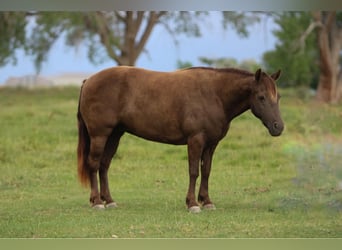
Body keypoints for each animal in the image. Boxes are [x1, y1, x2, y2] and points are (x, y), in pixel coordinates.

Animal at [77, 65, 284, 212]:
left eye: (278, 96)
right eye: (261, 97)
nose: (278, 127)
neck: (214, 94)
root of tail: (88, 80)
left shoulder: (211, 144)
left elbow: (206, 171)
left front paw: (207, 201)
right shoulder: (196, 140)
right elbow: (193, 171)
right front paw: (192, 203)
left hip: (114, 135)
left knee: (104, 165)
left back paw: (109, 200)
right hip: (100, 135)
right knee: (94, 164)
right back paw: (97, 201)